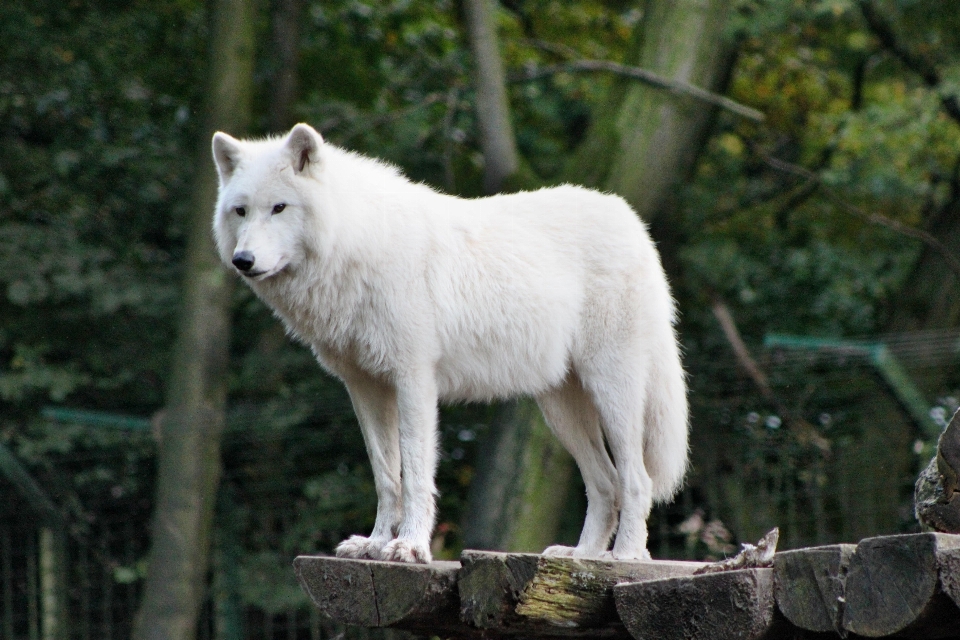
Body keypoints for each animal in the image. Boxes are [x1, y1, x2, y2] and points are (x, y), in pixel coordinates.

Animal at [214, 122, 688, 564]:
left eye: (279, 208)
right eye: (240, 211)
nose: (243, 261)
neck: (356, 244)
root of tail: (633, 223)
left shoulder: (414, 380)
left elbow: (415, 474)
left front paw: (409, 547)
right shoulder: (365, 388)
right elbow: (386, 476)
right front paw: (375, 544)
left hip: (612, 393)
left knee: (636, 480)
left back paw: (626, 556)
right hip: (560, 409)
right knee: (605, 484)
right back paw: (581, 556)